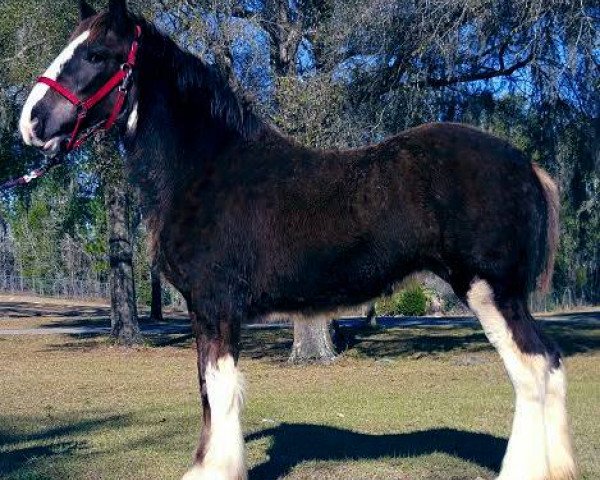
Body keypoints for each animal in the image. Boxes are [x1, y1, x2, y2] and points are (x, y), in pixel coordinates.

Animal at [17, 0, 576, 480]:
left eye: (96, 55)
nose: (31, 122)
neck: (205, 170)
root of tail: (527, 166)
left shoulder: (216, 305)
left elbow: (219, 389)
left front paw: (217, 469)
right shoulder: (205, 311)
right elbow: (207, 389)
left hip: (491, 291)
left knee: (533, 370)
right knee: (549, 363)